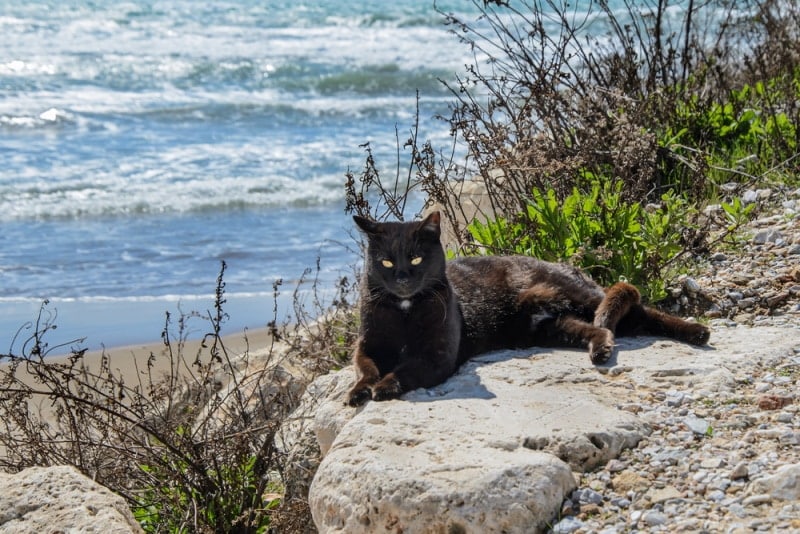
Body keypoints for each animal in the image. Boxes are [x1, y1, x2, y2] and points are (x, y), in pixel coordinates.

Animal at [346, 211, 708, 408]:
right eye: (386, 262)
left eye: (417, 258)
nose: (402, 278)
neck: (404, 309)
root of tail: (566, 265)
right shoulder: (367, 347)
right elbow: (365, 368)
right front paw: (359, 391)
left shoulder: (436, 356)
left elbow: (404, 370)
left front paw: (382, 388)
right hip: (551, 325)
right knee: (601, 328)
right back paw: (601, 351)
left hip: (576, 298)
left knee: (638, 309)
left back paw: (698, 332)